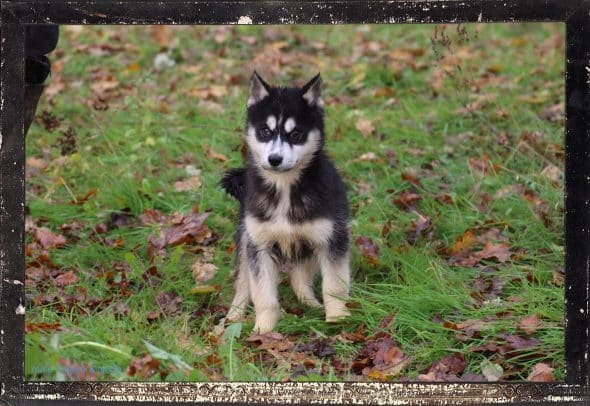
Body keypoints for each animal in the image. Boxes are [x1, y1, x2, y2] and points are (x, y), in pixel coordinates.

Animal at [222, 72, 352, 334]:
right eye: (264, 131)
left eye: (296, 135)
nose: (274, 159)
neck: (284, 189)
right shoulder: (259, 246)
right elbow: (262, 294)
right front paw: (263, 330)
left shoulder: (331, 239)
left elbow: (334, 286)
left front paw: (337, 319)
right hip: (245, 241)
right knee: (243, 284)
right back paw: (233, 317)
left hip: (309, 245)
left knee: (298, 278)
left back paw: (312, 305)